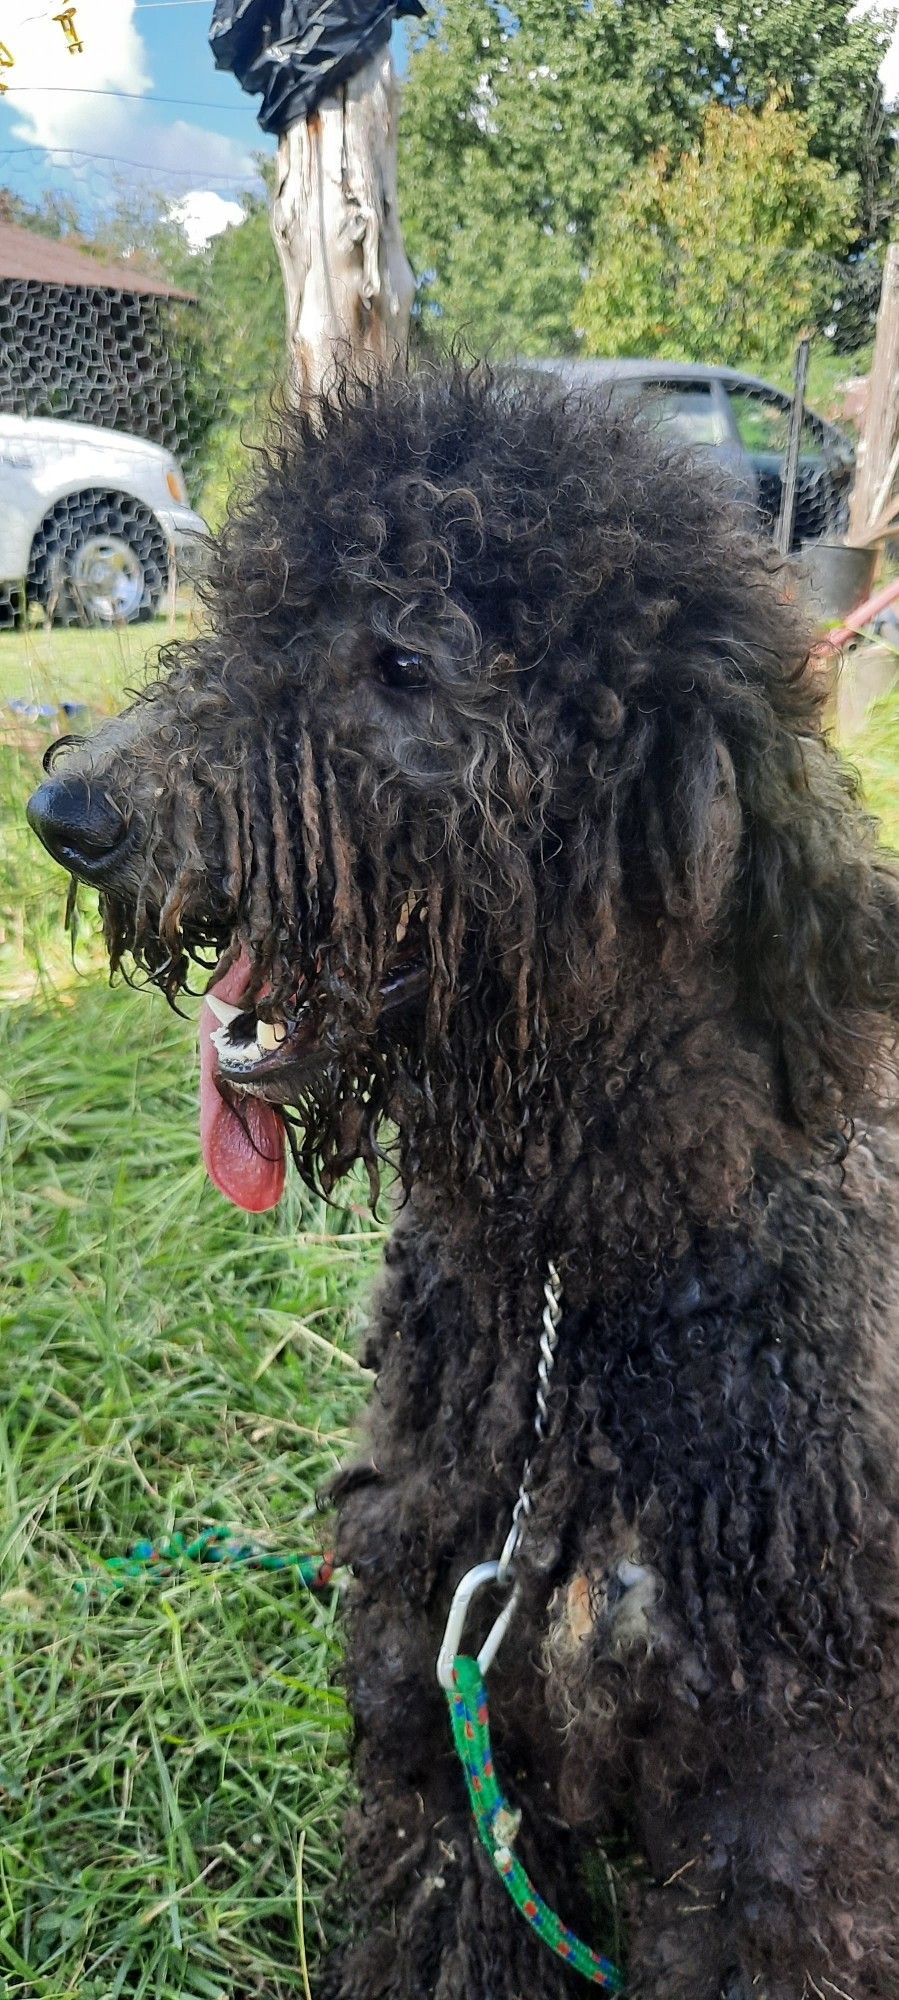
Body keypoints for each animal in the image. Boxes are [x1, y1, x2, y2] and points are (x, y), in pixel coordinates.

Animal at [28, 368, 899, 1992]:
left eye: (403, 658)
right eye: (246, 608)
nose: (72, 813)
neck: (571, 1294)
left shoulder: (780, 1796)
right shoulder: (438, 1707)